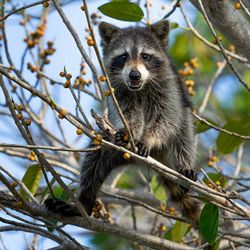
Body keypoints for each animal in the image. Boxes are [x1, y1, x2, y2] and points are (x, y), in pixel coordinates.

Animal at [46, 20, 200, 223]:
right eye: (123, 56)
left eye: (145, 56)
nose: (134, 75)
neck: (140, 87)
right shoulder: (118, 92)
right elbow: (128, 115)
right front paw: (131, 132)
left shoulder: (169, 90)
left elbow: (166, 119)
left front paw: (149, 139)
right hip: (109, 144)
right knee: (95, 157)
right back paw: (84, 201)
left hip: (183, 121)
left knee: (183, 135)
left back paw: (184, 167)